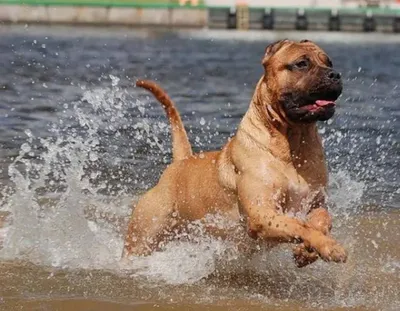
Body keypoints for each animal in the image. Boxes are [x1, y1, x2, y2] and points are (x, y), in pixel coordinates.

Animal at [122, 39, 346, 268]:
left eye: (329, 62)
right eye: (302, 63)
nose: (335, 74)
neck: (292, 145)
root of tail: (181, 162)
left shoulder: (316, 203)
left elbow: (322, 221)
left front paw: (306, 251)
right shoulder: (261, 213)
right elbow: (299, 225)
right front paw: (330, 246)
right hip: (143, 236)